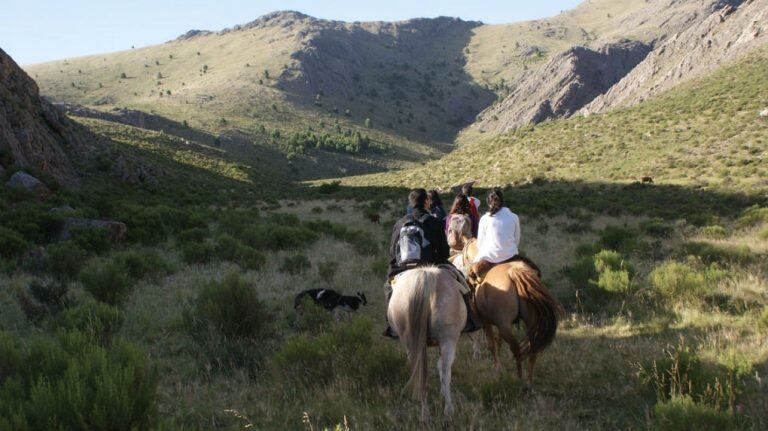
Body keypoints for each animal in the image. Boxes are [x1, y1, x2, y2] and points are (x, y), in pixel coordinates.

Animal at [388, 266, 464, 422]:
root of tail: (425, 278)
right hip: (448, 339)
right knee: (445, 368)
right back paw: (448, 410)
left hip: (412, 341)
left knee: (419, 368)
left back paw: (424, 412)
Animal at [452, 240, 560, 392]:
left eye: (465, 256)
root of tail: (514, 272)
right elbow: (498, 342)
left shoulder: (486, 321)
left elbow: (492, 344)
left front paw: (497, 368)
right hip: (530, 321)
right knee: (532, 349)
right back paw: (529, 382)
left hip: (505, 325)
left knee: (516, 347)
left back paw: (519, 378)